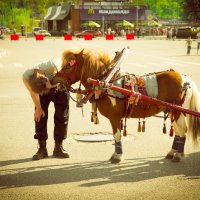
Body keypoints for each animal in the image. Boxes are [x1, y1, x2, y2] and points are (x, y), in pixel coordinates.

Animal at [52, 47, 200, 163]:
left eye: (69, 65)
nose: (53, 79)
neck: (105, 81)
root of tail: (185, 79)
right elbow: (115, 136)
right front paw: (116, 154)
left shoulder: (114, 117)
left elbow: (117, 135)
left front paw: (118, 156)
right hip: (172, 110)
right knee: (178, 131)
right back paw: (172, 152)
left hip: (178, 110)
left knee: (182, 130)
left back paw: (178, 154)